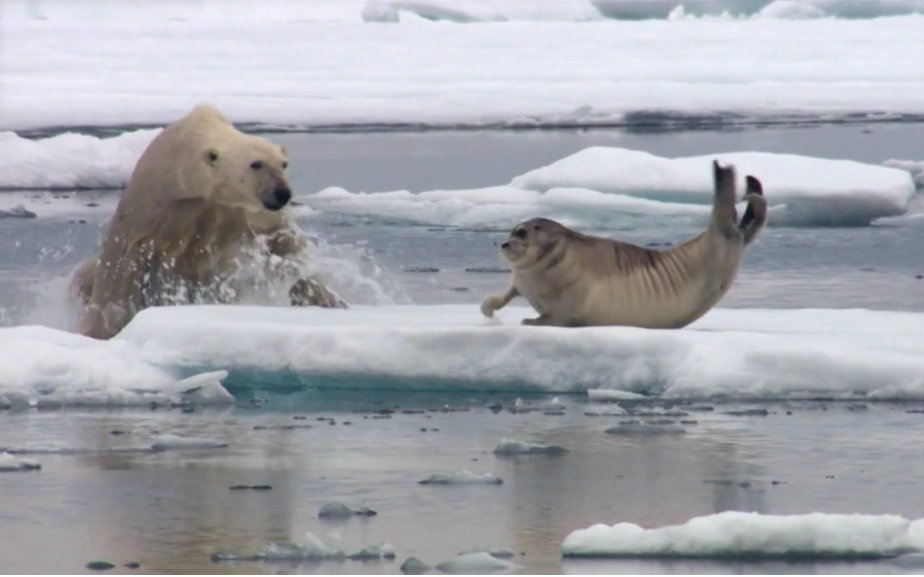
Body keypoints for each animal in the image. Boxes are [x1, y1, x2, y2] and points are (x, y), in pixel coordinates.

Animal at [73, 103, 346, 340]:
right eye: (256, 164)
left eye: (283, 164)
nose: (282, 193)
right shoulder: (154, 207)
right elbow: (121, 265)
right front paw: (102, 328)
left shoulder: (242, 212)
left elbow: (282, 241)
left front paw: (325, 297)